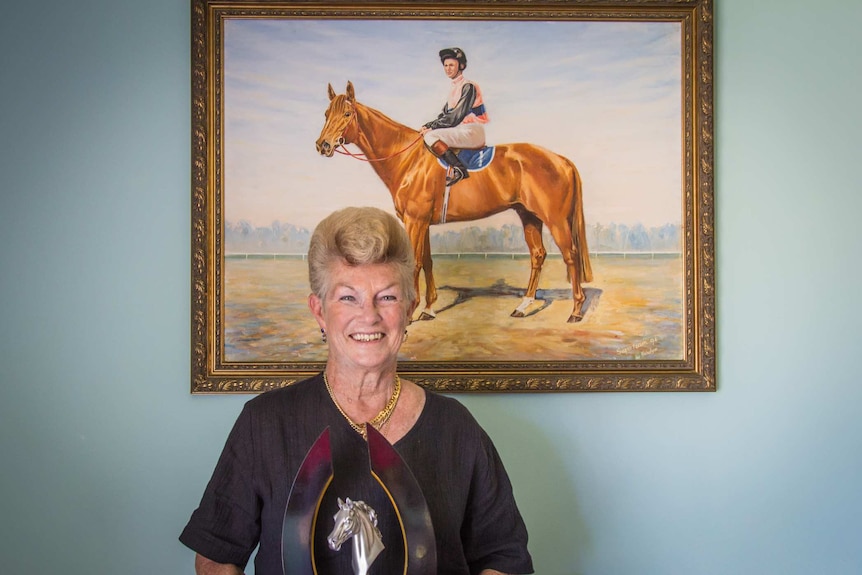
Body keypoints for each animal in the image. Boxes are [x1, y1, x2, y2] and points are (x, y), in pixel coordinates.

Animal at [318, 81, 592, 324]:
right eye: (326, 114)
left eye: (346, 113)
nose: (323, 145)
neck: (409, 159)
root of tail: (561, 160)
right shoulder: (422, 223)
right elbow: (427, 261)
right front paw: (428, 308)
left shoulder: (415, 221)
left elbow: (415, 263)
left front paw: (411, 313)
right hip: (529, 216)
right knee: (538, 255)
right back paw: (523, 306)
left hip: (555, 220)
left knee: (570, 255)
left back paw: (576, 310)